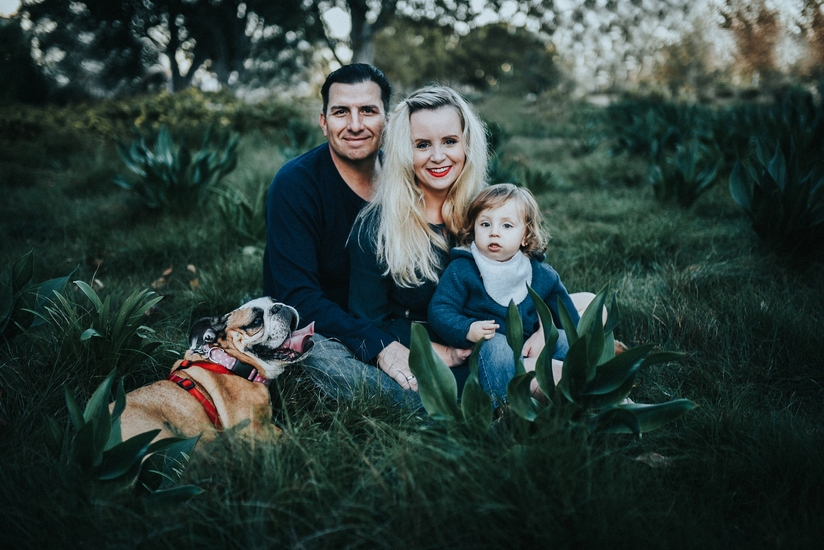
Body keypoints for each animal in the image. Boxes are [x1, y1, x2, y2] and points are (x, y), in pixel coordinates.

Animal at [119, 300, 316, 446]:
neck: (231, 362)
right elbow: (289, 436)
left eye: (274, 301)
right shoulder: (255, 430)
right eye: (256, 322)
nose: (279, 306)